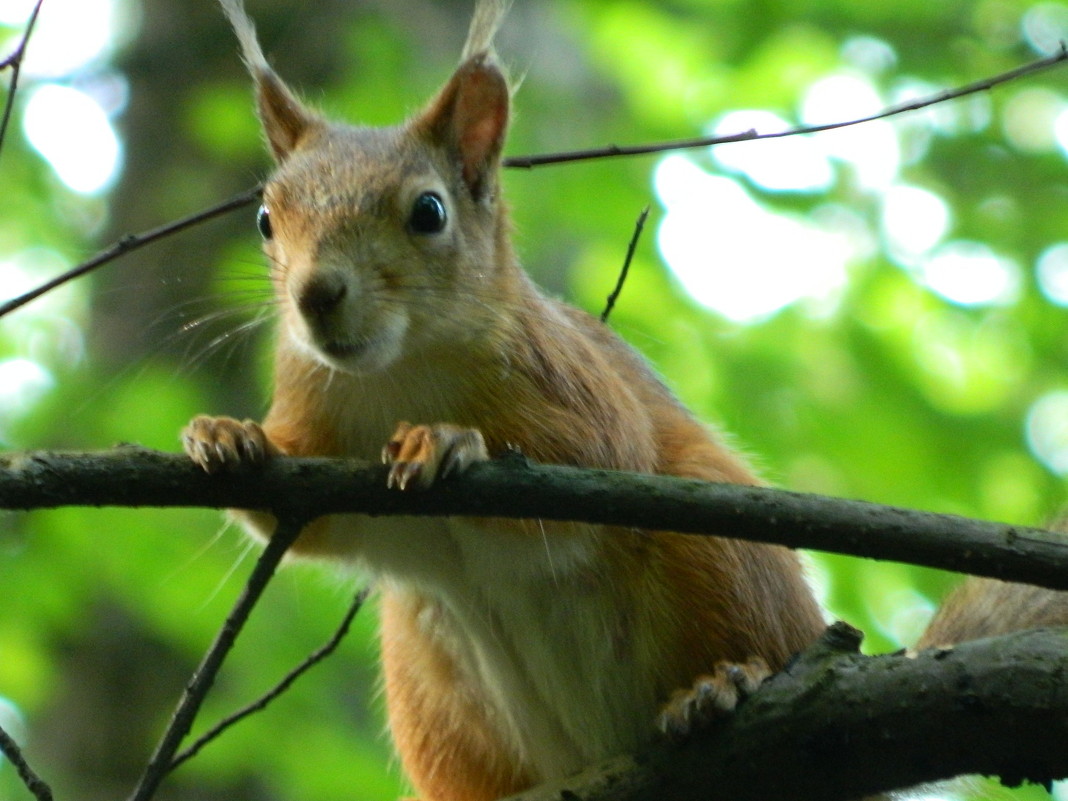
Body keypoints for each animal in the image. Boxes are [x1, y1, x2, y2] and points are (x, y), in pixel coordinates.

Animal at [183, 3, 1068, 798]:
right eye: (265, 219)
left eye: (428, 211)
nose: (315, 296)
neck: (396, 370)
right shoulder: (313, 408)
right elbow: (303, 518)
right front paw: (226, 434)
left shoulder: (571, 383)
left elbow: (600, 453)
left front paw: (448, 439)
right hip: (431, 677)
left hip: (719, 552)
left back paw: (723, 685)